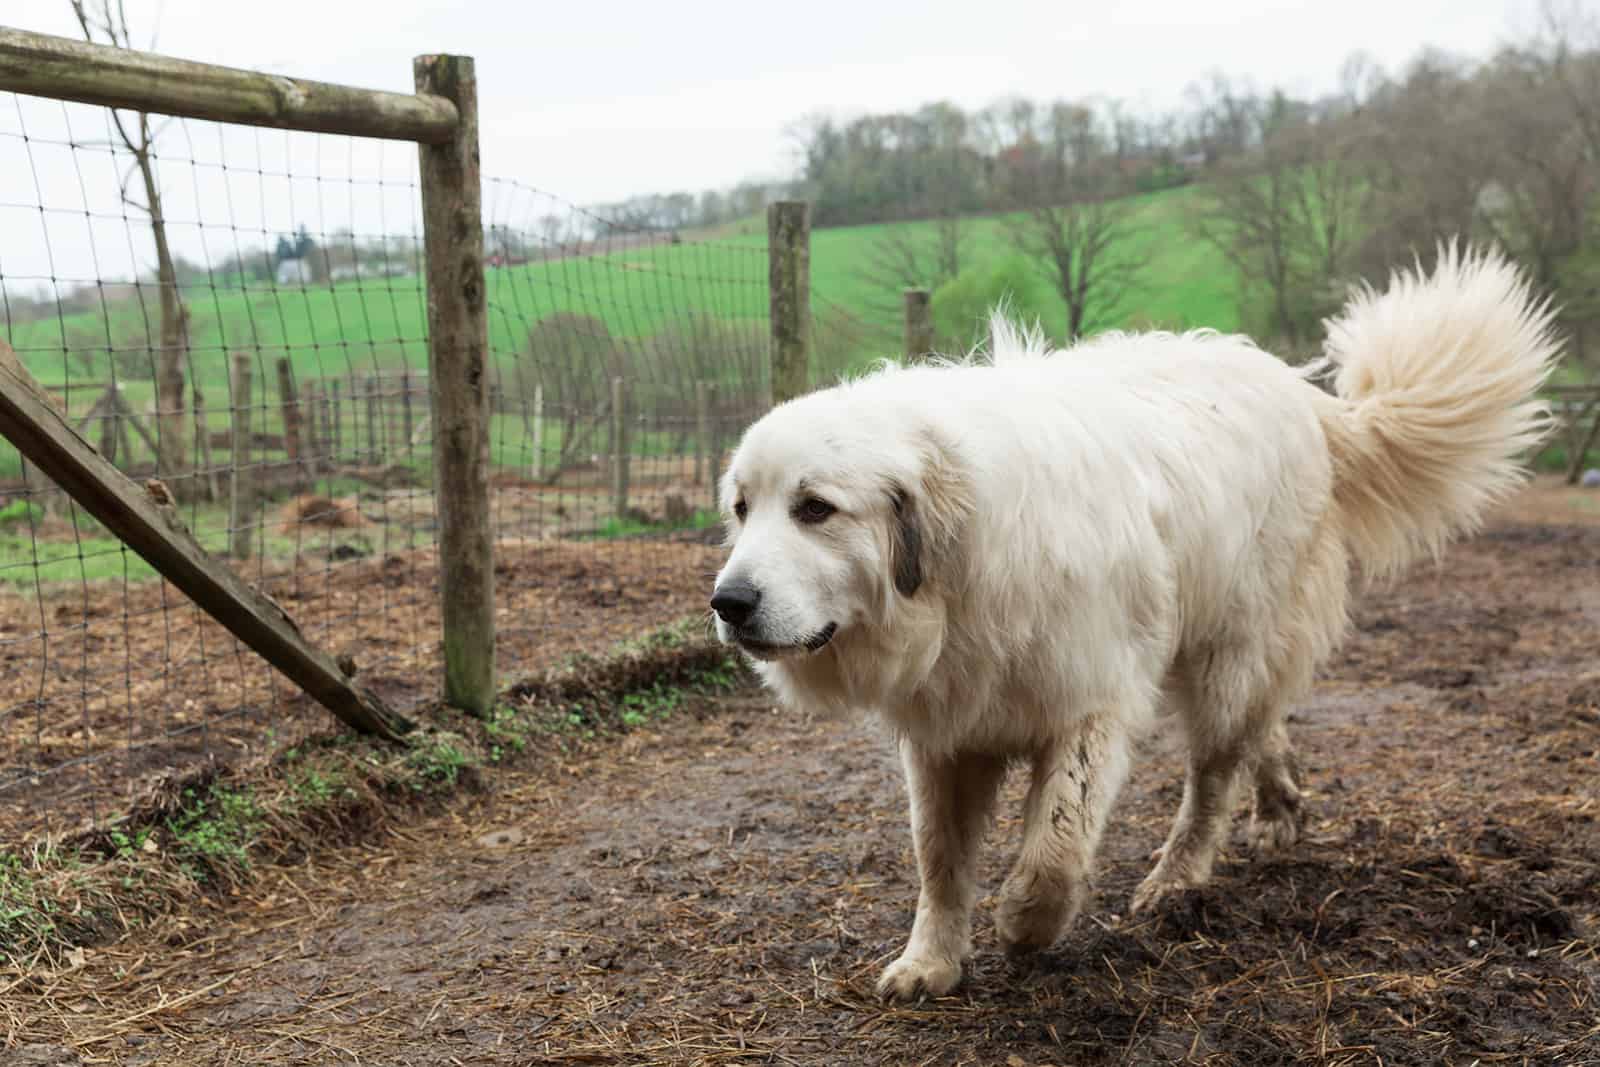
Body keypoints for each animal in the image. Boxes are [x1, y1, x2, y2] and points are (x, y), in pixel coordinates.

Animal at [707, 241, 1555, 1004]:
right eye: (742, 509)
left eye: (815, 508)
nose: (728, 601)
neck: (962, 564)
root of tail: (1303, 395)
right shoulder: (946, 732)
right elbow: (938, 858)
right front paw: (932, 960)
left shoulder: (1091, 704)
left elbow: (1054, 845)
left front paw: (1026, 922)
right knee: (1263, 724)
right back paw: (1279, 803)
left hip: (1223, 654)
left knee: (1214, 773)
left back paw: (1178, 877)